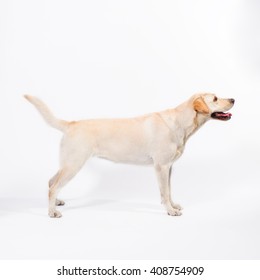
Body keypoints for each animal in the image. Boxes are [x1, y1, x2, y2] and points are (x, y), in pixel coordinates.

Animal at [25, 93, 235, 218]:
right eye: (215, 98)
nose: (233, 99)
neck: (180, 123)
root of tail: (70, 124)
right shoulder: (161, 166)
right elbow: (164, 192)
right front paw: (170, 210)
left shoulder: (169, 167)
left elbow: (169, 190)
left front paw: (174, 205)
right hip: (74, 164)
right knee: (54, 186)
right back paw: (52, 212)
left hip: (68, 163)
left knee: (51, 181)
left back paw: (56, 203)